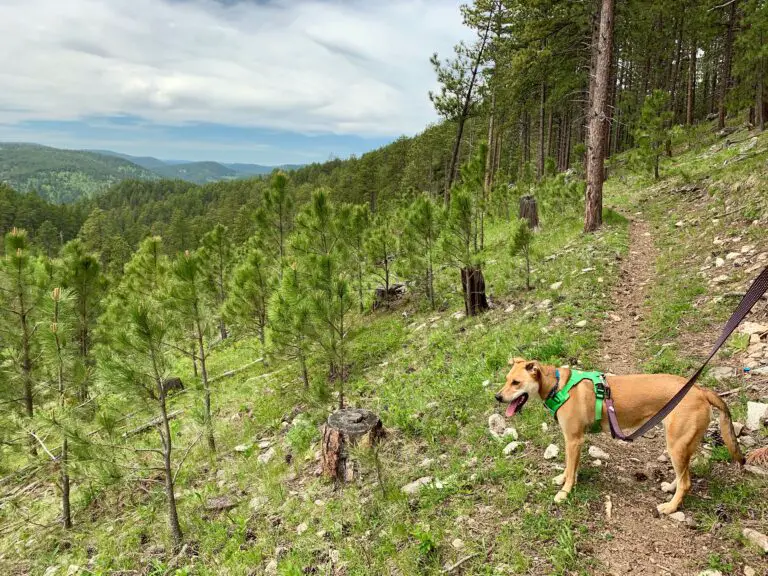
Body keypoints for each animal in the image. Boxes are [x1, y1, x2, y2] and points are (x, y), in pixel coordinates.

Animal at [492, 360, 744, 512]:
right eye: (506, 379)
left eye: (516, 382)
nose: (497, 397)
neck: (557, 386)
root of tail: (700, 390)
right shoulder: (572, 441)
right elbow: (569, 467)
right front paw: (562, 479)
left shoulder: (574, 440)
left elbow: (571, 470)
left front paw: (564, 492)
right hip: (681, 444)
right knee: (683, 475)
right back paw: (671, 489)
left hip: (676, 445)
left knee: (687, 482)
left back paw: (670, 507)